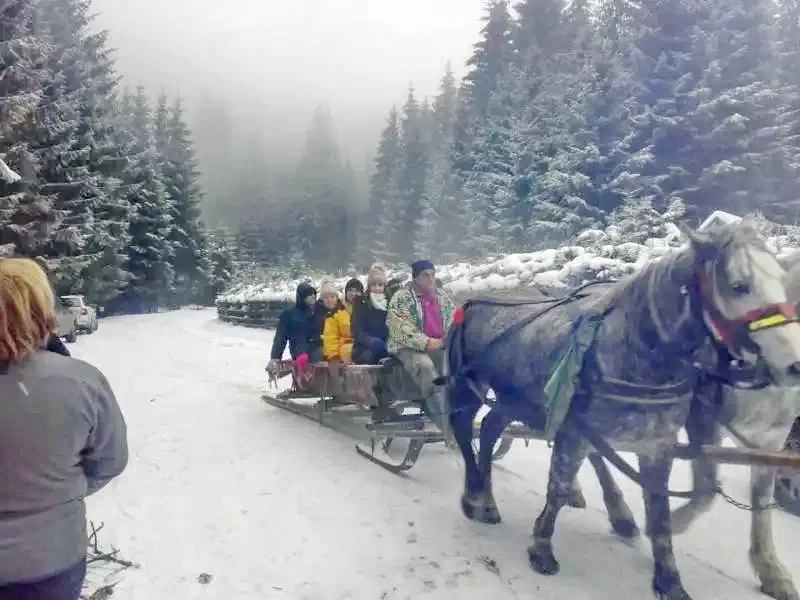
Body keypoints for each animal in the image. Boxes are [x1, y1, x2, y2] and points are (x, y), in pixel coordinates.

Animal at [446, 221, 800, 600]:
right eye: (738, 286)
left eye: (783, 280)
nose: (794, 365)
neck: (637, 353)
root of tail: (474, 300)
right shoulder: (576, 430)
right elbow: (558, 487)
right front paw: (541, 548)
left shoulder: (660, 446)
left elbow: (660, 510)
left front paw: (670, 579)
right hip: (468, 385)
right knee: (465, 428)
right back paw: (474, 496)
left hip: (514, 401)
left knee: (491, 426)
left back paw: (488, 496)